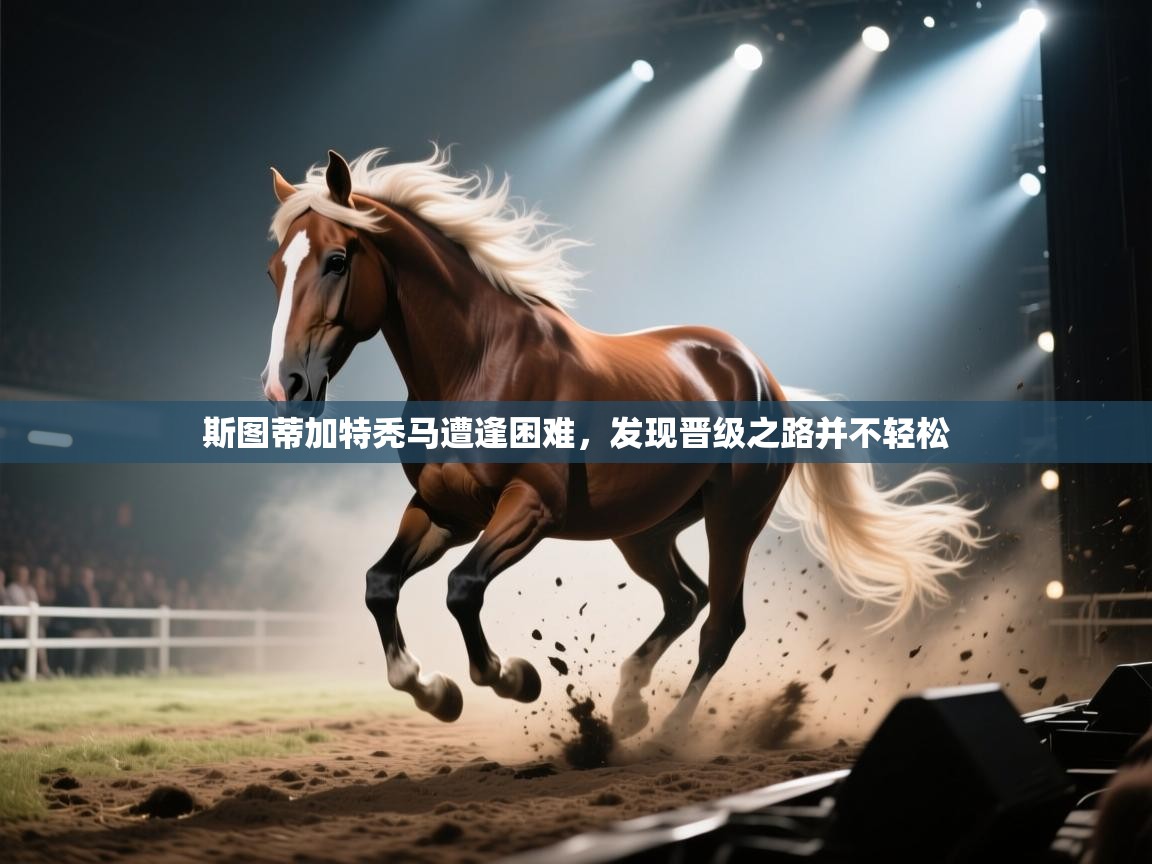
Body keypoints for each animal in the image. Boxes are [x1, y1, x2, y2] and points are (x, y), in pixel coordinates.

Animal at [260, 147, 985, 737]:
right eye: (274, 270)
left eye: (336, 260)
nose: (284, 386)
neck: (481, 364)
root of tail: (764, 377)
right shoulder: (445, 512)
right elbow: (380, 583)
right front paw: (435, 692)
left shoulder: (529, 508)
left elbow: (463, 588)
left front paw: (515, 677)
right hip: (644, 531)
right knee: (685, 600)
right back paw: (629, 706)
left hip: (733, 518)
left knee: (721, 624)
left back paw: (668, 736)